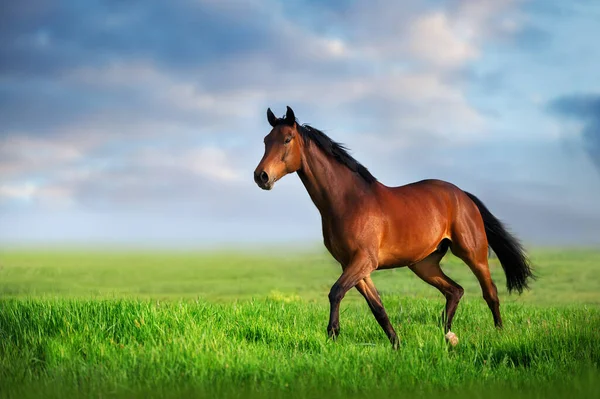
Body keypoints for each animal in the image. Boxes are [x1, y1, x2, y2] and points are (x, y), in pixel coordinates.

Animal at [251, 106, 532, 350]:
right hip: (424, 264)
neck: (348, 201)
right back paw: (447, 335)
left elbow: (336, 292)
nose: (261, 176)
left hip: (473, 254)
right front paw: (396, 344)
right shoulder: (354, 266)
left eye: (287, 139)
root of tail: (463, 195)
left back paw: (498, 334)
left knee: (490, 293)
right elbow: (378, 308)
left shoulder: (364, 261)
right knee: (455, 291)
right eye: (265, 140)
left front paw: (332, 336)